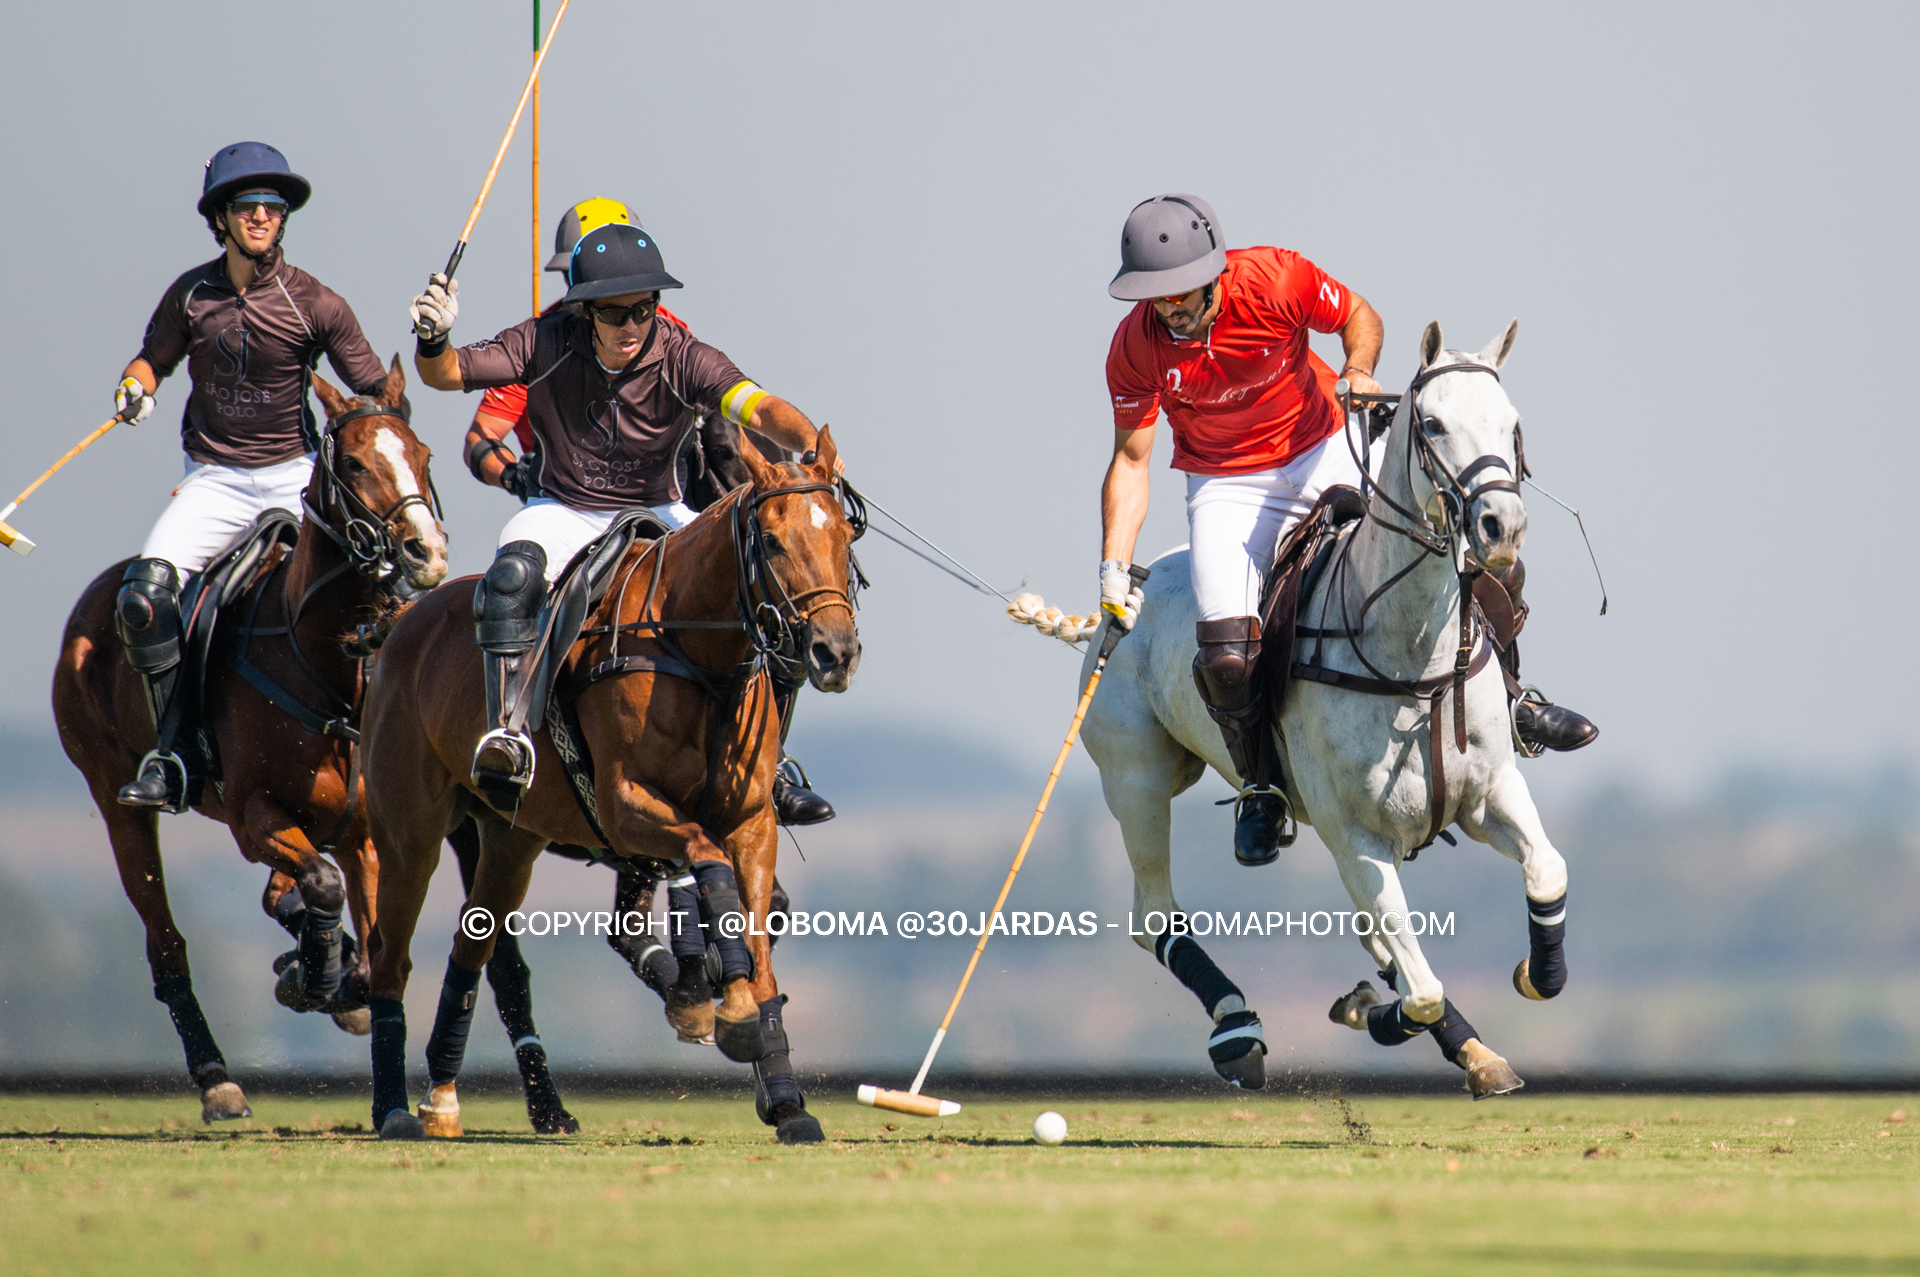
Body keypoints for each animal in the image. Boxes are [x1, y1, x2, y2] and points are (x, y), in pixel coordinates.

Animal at [51, 359, 445, 1113]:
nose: (426, 553)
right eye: (354, 462)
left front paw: (335, 980)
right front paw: (317, 976)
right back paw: (218, 1078)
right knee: (166, 941)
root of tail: (94, 597)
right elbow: (321, 887)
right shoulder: (251, 814)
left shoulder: (365, 834)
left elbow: (375, 946)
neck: (323, 660)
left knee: (281, 898)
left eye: (423, 455)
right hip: (115, 797)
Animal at [362, 428, 860, 1144]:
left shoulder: (752, 821)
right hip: (409, 832)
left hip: (510, 841)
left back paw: (442, 1097)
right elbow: (708, 869)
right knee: (390, 955)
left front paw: (786, 1098)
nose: (834, 652)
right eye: (769, 540)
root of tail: (404, 620)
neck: (698, 651)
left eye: (845, 534)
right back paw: (392, 1108)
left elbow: (757, 939)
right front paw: (728, 1012)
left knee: (472, 943)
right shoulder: (627, 806)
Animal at [1090, 318, 1566, 1098]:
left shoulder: (1490, 792)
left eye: (1512, 424)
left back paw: (1473, 1050)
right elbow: (1421, 988)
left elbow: (1546, 874)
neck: (1413, 657)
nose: (1503, 527)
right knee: (1154, 915)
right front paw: (1371, 1012)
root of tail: (1132, 588)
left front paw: (1534, 973)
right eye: (1433, 424)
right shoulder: (1355, 834)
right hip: (1135, 779)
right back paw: (1237, 1030)